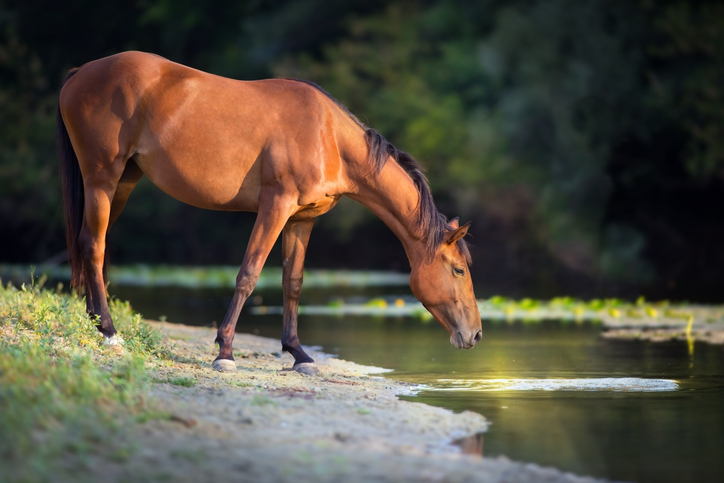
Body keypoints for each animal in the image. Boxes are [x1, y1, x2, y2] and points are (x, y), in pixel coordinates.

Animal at [57, 51, 482, 374]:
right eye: (458, 270)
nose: (475, 335)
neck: (328, 136)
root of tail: (82, 72)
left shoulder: (302, 219)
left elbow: (292, 283)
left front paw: (299, 354)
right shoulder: (275, 206)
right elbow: (249, 273)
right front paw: (225, 351)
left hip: (122, 182)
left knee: (92, 246)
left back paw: (96, 323)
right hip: (102, 178)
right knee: (93, 246)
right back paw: (109, 332)